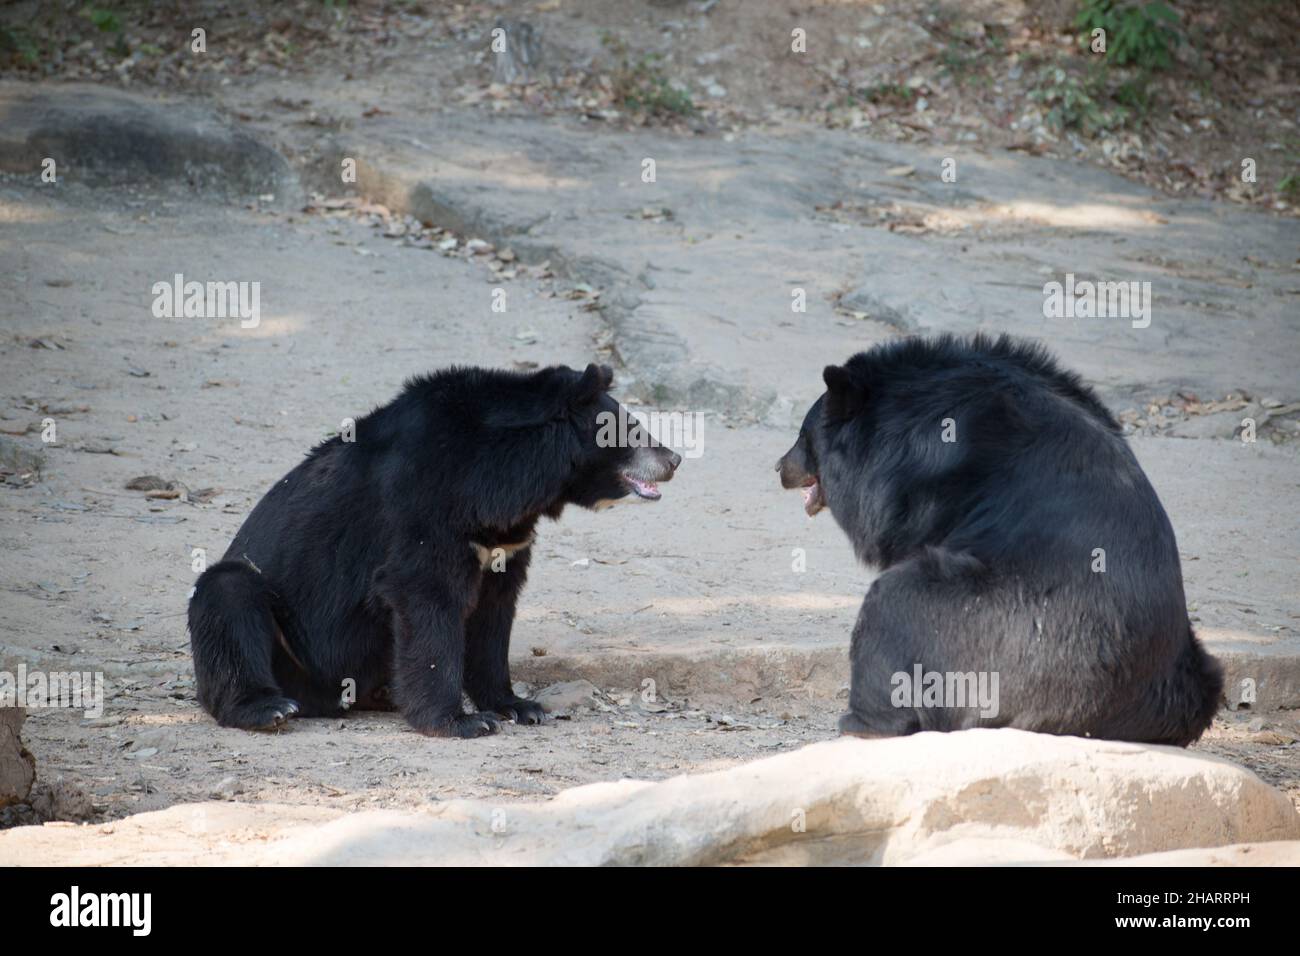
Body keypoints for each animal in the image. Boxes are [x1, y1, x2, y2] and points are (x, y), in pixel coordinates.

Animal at [192, 361, 686, 738]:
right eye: (630, 429)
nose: (674, 459)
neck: (509, 477)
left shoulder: (504, 539)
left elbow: (493, 615)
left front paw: (520, 705)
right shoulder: (426, 502)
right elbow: (426, 598)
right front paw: (462, 721)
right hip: (283, 636)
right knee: (227, 596)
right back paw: (270, 708)